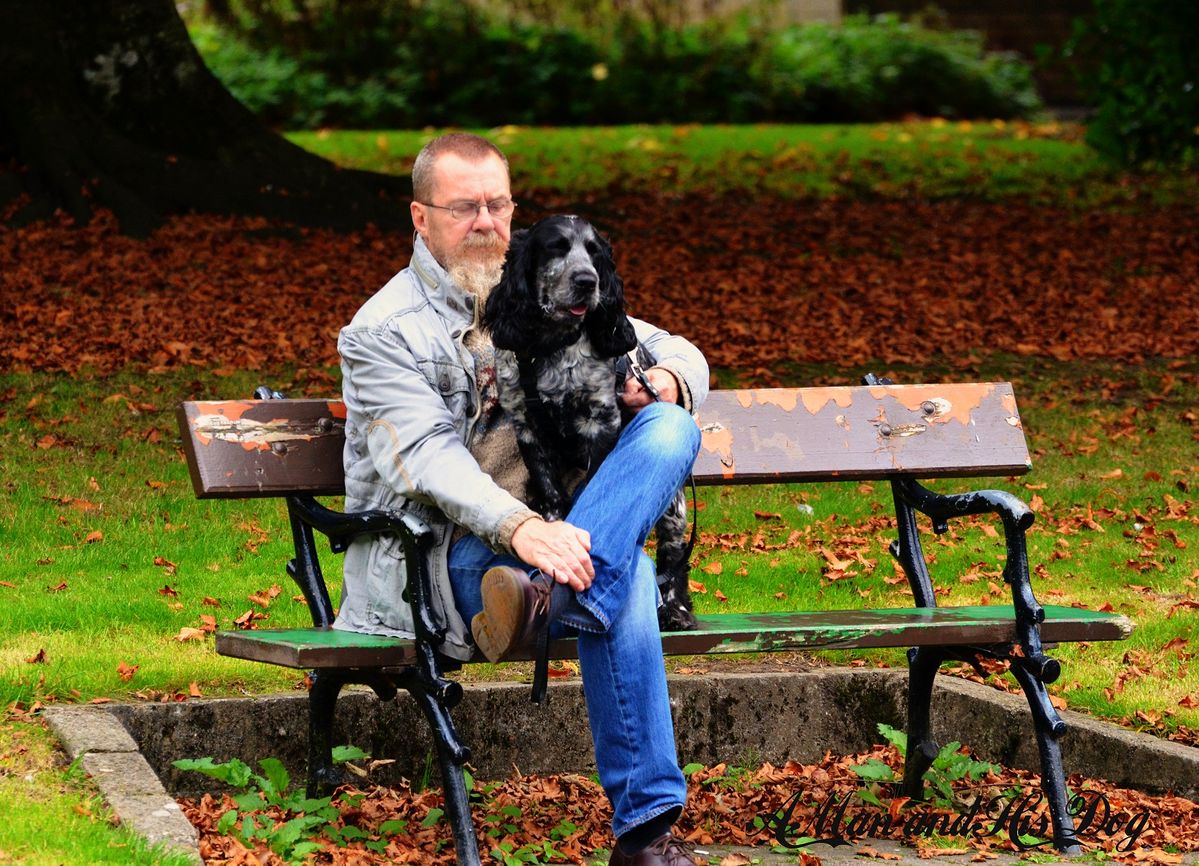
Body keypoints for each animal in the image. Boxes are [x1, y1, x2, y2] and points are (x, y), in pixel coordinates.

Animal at [481, 211, 700, 623]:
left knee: (675, 551)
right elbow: (552, 493)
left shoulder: (600, 421)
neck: (551, 346)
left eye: (595, 252)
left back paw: (675, 607)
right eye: (556, 247)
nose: (587, 281)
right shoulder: (527, 424)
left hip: (675, 507)